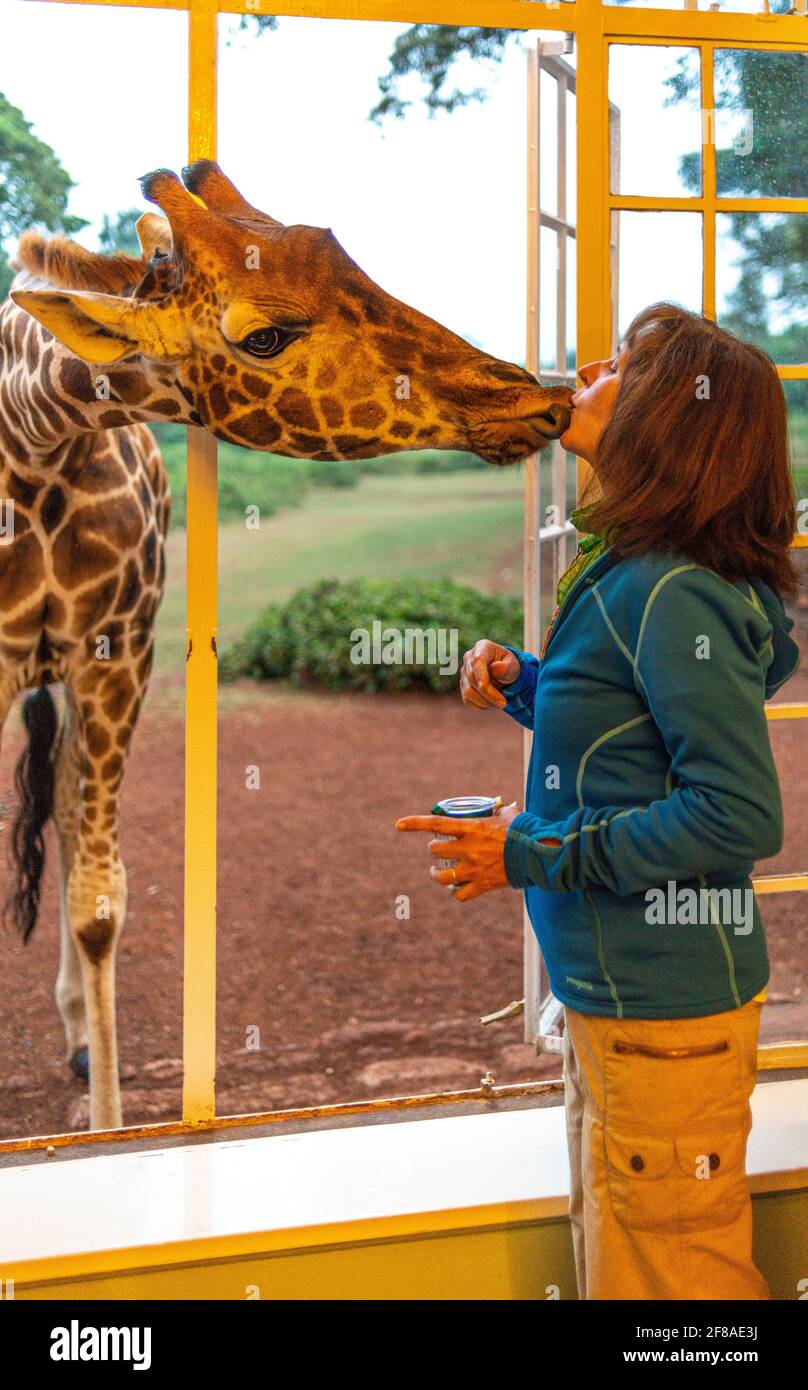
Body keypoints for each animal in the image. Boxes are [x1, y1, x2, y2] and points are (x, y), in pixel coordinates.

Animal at [2, 161, 572, 1132]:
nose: (538, 397)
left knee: (76, 827)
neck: (30, 444)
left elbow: (99, 902)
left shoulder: (117, 653)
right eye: (264, 333)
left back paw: (79, 1039)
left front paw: (108, 1123)